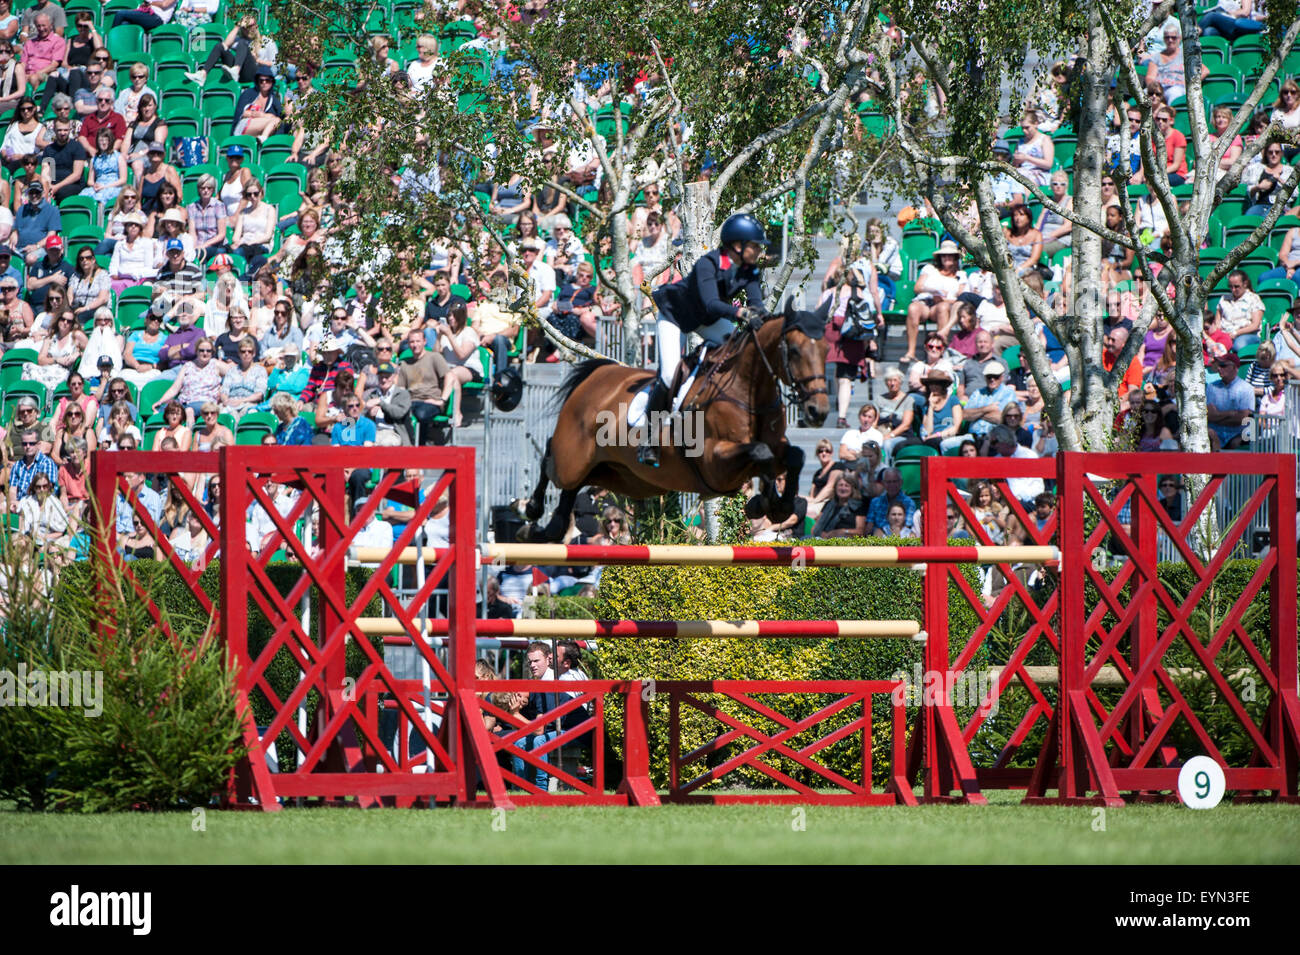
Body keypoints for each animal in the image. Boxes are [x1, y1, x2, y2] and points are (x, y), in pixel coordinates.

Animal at [520, 298, 832, 540]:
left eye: (824, 350)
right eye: (794, 351)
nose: (818, 411)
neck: (746, 390)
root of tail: (597, 374)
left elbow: (793, 457)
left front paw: (773, 505)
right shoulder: (715, 463)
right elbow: (761, 452)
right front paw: (764, 501)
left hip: (624, 477)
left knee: (575, 485)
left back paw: (554, 526)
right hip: (572, 459)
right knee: (551, 457)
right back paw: (534, 510)